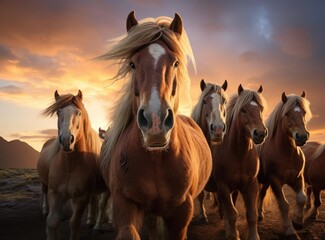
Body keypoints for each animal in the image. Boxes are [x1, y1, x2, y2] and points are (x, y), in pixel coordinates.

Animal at [36, 90, 106, 240]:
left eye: (78, 113)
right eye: (58, 112)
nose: (66, 140)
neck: (70, 166)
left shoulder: (82, 197)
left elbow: (74, 222)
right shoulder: (55, 193)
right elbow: (52, 221)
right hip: (44, 182)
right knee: (43, 191)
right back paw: (45, 209)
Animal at [97, 11, 211, 240]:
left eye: (175, 63)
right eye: (132, 64)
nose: (155, 121)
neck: (156, 160)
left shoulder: (182, 212)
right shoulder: (125, 204)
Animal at [210, 84, 266, 240]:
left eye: (261, 109)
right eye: (243, 110)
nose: (260, 133)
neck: (239, 155)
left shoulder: (251, 185)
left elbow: (251, 215)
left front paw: (253, 236)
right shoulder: (223, 186)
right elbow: (232, 214)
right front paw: (234, 235)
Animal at [256, 91, 312, 239]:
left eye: (304, 112)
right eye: (287, 114)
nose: (302, 136)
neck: (286, 154)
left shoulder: (297, 178)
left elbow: (302, 198)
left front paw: (298, 222)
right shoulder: (275, 181)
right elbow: (284, 204)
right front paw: (290, 230)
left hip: (265, 182)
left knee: (262, 195)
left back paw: (260, 215)